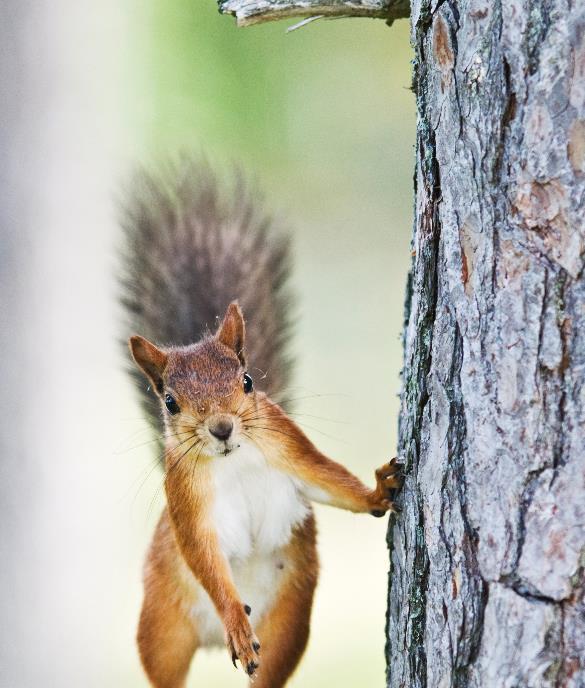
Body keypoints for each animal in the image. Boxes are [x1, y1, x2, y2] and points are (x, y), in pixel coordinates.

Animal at [120, 160, 400, 688]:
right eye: (170, 402)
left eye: (247, 380)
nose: (222, 428)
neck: (235, 460)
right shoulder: (186, 500)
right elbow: (204, 557)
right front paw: (234, 616)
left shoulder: (287, 444)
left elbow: (331, 481)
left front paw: (379, 491)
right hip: (162, 626)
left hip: (288, 621)